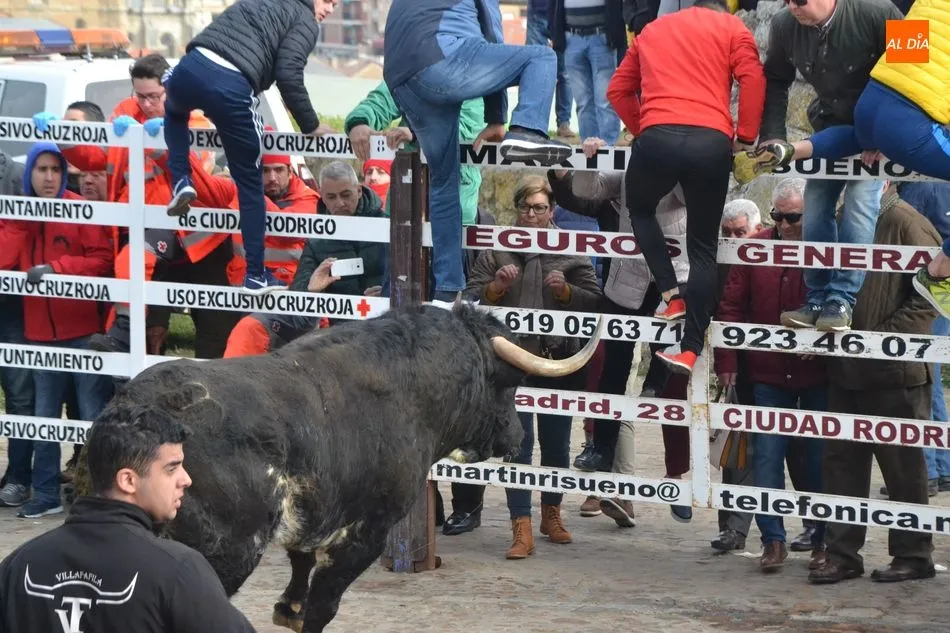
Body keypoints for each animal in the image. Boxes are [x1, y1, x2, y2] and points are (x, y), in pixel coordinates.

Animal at [75, 300, 603, 633]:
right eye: (507, 382)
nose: (515, 438)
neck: (412, 388)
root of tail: (134, 405)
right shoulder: (366, 531)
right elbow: (323, 604)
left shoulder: (314, 515)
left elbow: (300, 565)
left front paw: (286, 607)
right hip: (225, 553)